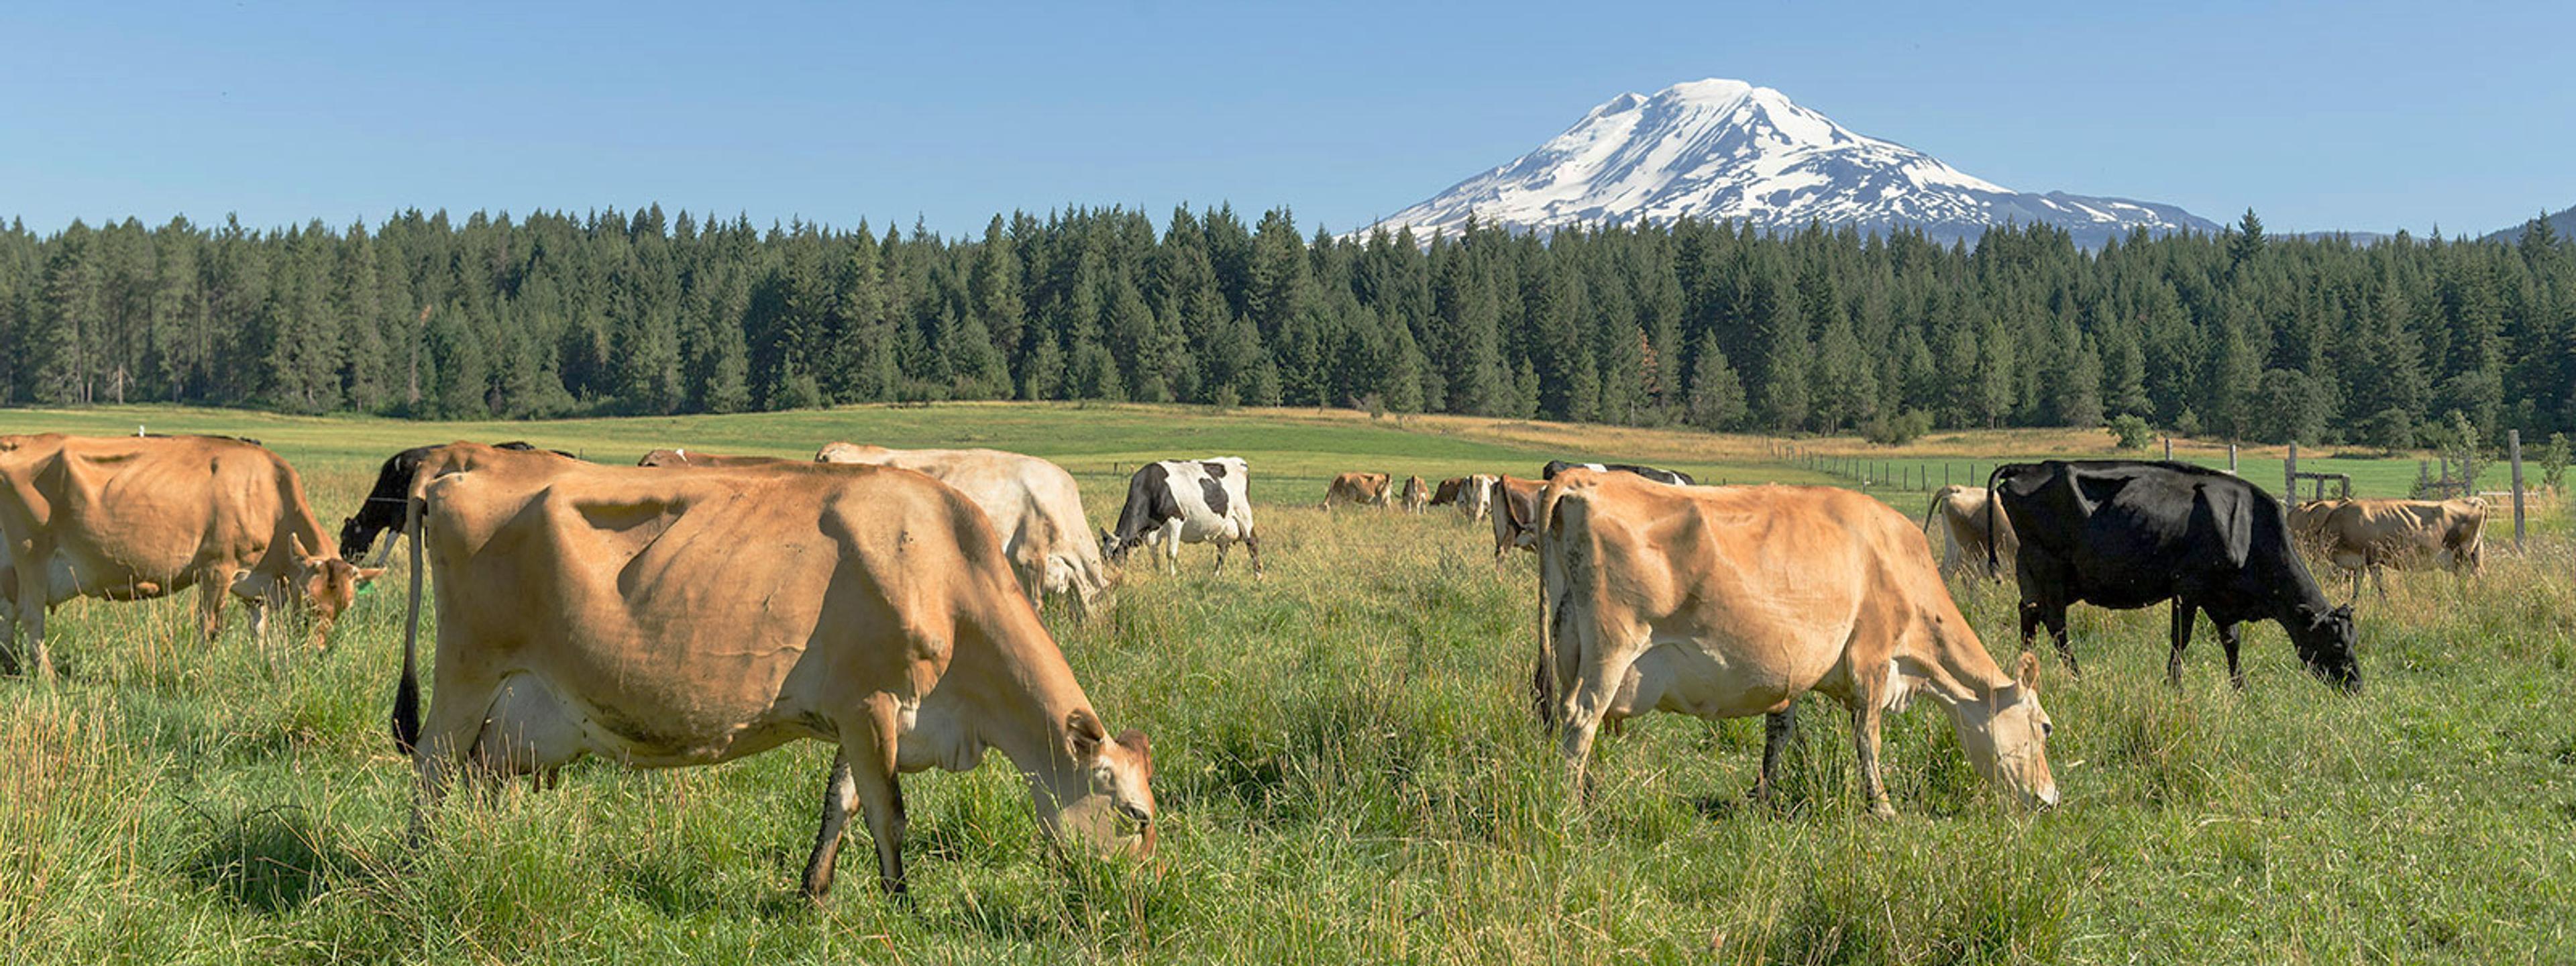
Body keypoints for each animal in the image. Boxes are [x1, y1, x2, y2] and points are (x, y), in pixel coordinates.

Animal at [0, 433, 377, 677]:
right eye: (309, 603)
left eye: (345, 607)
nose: (317, 652)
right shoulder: (217, 568)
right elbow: (210, 626)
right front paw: (204, 669)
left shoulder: (254, 584)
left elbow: (258, 627)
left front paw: (260, 662)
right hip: (31, 552)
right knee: (31, 614)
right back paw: (46, 676)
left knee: (6, 613)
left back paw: (9, 667)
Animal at [1102, 458, 1260, 576]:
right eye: (1103, 558)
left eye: (1116, 556)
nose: (1107, 578)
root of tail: (1238, 461)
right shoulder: (1151, 531)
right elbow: (1154, 554)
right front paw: (1158, 573)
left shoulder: (1175, 519)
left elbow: (1171, 553)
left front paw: (1172, 577)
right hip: (1223, 526)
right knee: (1223, 548)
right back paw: (1216, 575)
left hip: (1243, 513)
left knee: (1252, 542)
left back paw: (1258, 577)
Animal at [1988, 460, 2359, 692]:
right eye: (2337, 645)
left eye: (2355, 640)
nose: (2356, 685)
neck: (2248, 527)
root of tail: (2032, 467)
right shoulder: (2189, 586)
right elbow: (2182, 639)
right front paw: (2175, 686)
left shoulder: (2223, 598)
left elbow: (2232, 642)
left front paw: (2241, 689)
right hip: (2049, 565)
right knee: (2056, 624)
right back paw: (2078, 678)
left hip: (2038, 571)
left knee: (2029, 613)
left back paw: (2022, 669)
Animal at [2312, 497, 2486, 599]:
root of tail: (2476, 500)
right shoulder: (2359, 562)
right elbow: (2356, 588)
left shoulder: (2372, 558)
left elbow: (2379, 586)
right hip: (2472, 555)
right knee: (2478, 575)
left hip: (2462, 553)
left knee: (2471, 577)